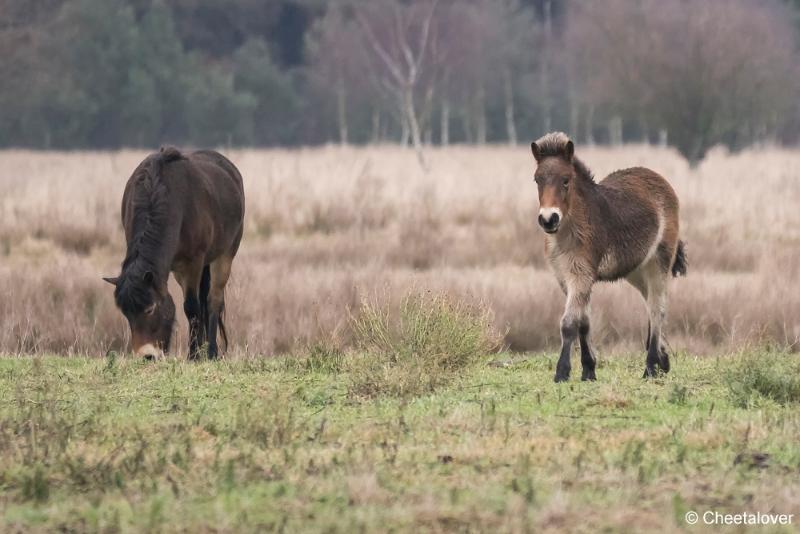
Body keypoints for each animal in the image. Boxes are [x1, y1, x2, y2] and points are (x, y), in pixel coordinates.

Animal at [104, 149, 245, 362]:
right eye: (126, 314)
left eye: (150, 309)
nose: (146, 356)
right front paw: (196, 352)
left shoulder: (193, 263)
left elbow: (192, 306)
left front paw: (193, 355)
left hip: (225, 255)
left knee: (213, 300)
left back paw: (211, 351)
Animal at [532, 132, 688, 384]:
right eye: (537, 180)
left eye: (566, 180)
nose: (548, 219)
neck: (570, 229)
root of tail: (659, 179)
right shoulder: (565, 277)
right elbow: (584, 322)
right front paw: (588, 369)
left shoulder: (580, 274)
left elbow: (569, 323)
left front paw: (562, 372)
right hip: (636, 270)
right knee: (651, 305)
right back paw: (663, 361)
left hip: (659, 262)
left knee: (657, 309)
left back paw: (651, 367)